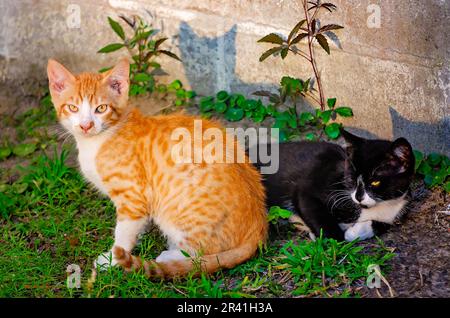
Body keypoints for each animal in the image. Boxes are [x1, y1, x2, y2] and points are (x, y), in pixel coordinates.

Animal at [46, 59, 268, 278]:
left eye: (101, 108)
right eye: (72, 108)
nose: (86, 126)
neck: (98, 140)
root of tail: (258, 227)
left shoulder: (133, 194)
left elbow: (123, 232)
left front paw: (112, 259)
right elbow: (136, 223)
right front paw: (140, 233)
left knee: (201, 255)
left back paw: (170, 257)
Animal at [256, 129, 414, 241]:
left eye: (375, 182)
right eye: (351, 178)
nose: (358, 197)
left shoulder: (396, 211)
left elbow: (382, 225)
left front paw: (355, 232)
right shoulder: (311, 187)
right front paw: (333, 237)